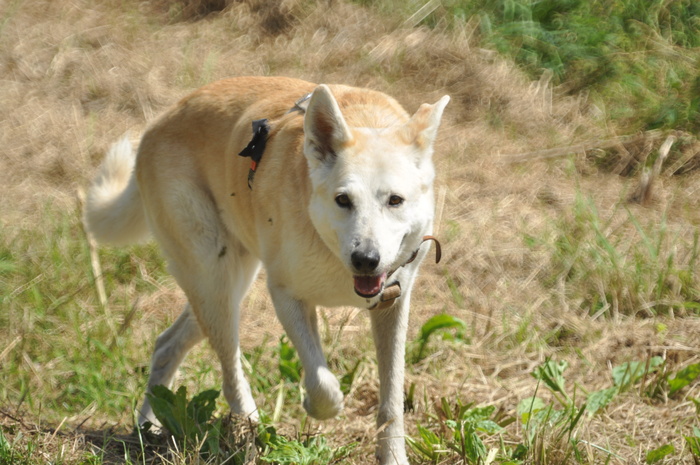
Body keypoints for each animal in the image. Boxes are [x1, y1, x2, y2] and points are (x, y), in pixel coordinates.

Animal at [83, 74, 448, 462]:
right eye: (343, 200)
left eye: (395, 200)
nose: (365, 259)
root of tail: (156, 126)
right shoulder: (286, 296)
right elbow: (322, 382)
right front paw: (317, 405)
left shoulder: (392, 304)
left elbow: (391, 400)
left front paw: (393, 456)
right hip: (215, 279)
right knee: (230, 373)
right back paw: (252, 433)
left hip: (227, 285)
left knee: (167, 344)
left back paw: (147, 428)